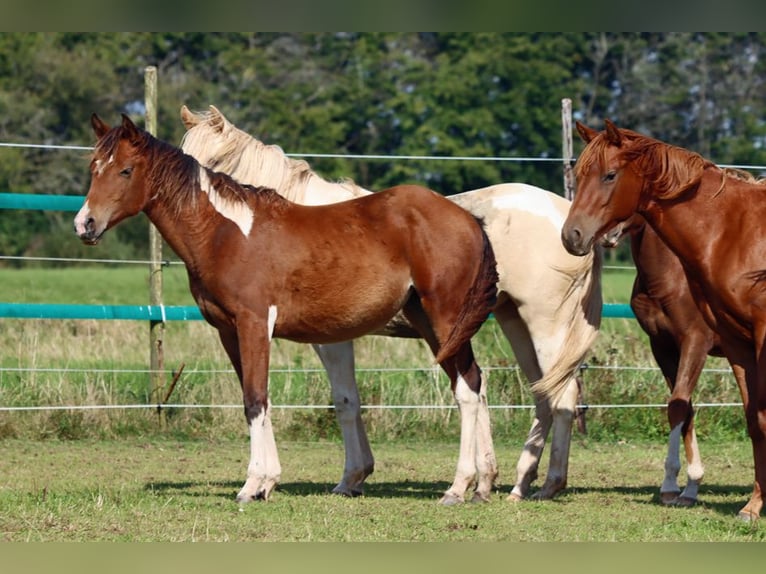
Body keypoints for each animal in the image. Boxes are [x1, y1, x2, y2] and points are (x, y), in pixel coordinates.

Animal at [75, 113, 500, 508]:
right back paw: (480, 486)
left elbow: (256, 398)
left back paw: (457, 488)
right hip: (430, 323)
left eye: (126, 170)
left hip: (445, 319)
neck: (225, 233)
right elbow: (256, 400)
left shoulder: (255, 324)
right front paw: (267, 483)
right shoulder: (230, 332)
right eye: (94, 167)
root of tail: (469, 219)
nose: (85, 225)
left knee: (467, 391)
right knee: (472, 382)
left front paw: (253, 485)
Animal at [180, 104, 608, 504]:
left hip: (545, 323)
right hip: (513, 320)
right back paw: (519, 482)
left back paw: (548, 484)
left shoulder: (330, 339)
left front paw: (351, 477)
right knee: (542, 393)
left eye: (208, 166)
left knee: (563, 395)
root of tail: (567, 219)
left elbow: (345, 400)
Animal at [608, 216, 728, 508]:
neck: (671, 278)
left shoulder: (695, 343)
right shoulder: (662, 347)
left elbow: (677, 407)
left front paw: (670, 486)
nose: (608, 235)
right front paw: (689, 489)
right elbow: (685, 408)